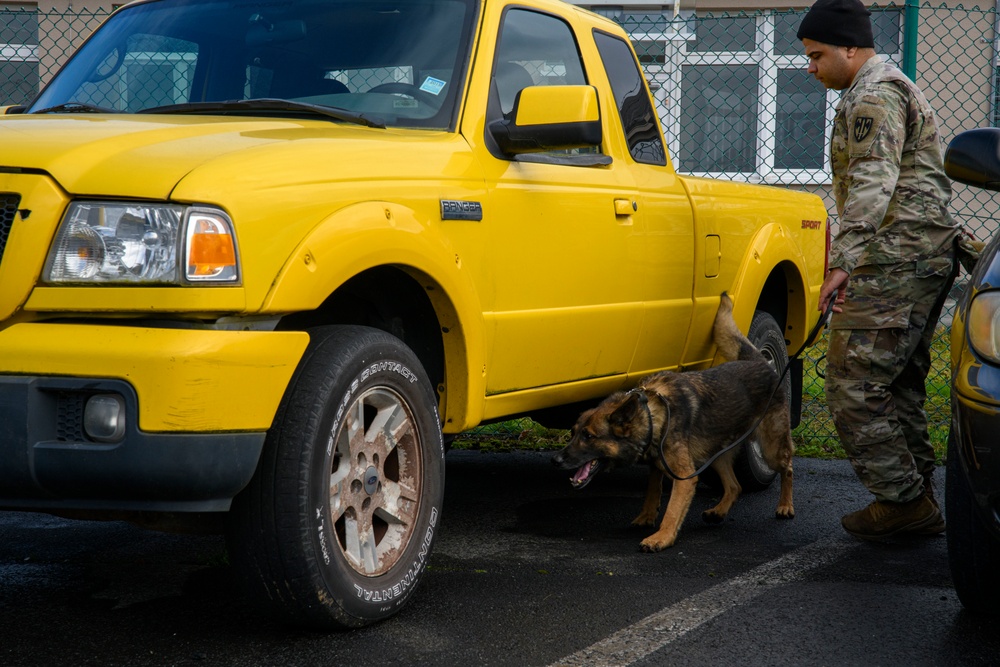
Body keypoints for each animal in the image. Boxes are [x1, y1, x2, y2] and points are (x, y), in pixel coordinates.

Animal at [552, 294, 792, 552]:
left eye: (588, 436)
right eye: (572, 433)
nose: (555, 460)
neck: (651, 412)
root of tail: (759, 361)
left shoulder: (684, 476)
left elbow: (672, 511)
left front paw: (661, 537)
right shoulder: (658, 462)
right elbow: (652, 489)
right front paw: (646, 516)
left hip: (770, 450)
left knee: (787, 468)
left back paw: (785, 506)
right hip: (713, 455)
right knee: (734, 486)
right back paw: (718, 511)